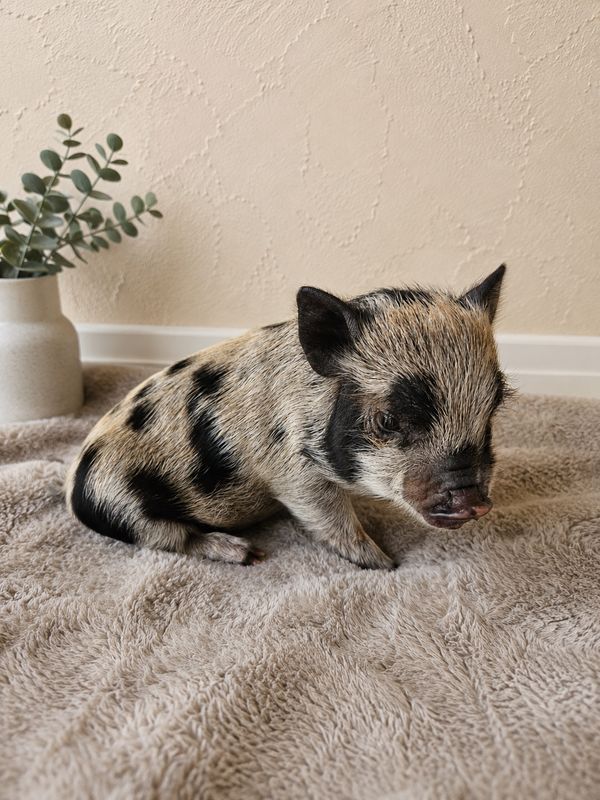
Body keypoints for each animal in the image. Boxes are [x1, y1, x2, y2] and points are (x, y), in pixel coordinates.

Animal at [66, 265, 511, 569]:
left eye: (490, 412)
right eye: (388, 420)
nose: (475, 503)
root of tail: (73, 485)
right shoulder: (291, 472)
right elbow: (330, 518)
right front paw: (385, 563)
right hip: (120, 503)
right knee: (167, 537)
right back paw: (246, 554)